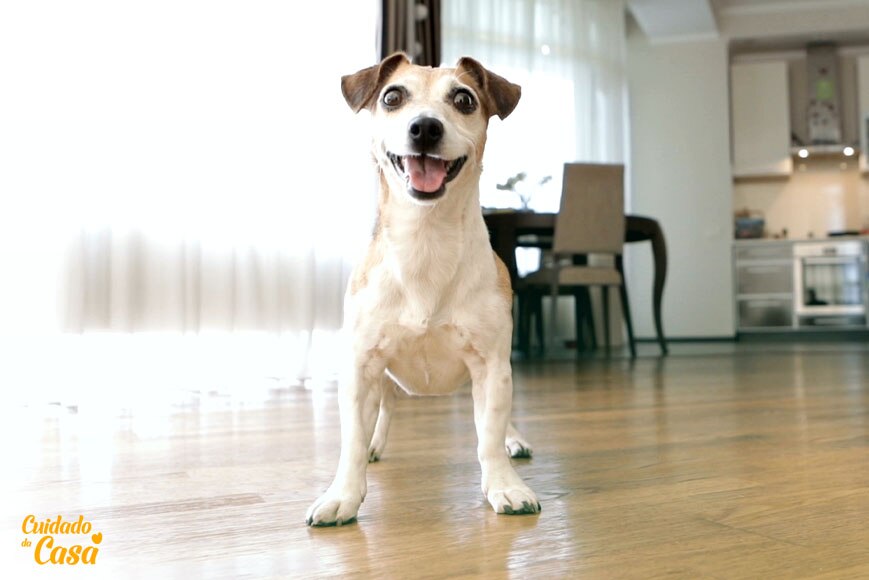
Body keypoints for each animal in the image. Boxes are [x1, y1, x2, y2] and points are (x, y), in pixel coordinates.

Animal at [304, 53, 536, 524]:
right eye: (392, 97)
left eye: (464, 99)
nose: (425, 127)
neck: (426, 239)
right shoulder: (361, 369)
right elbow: (352, 441)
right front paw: (343, 494)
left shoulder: (491, 366)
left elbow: (488, 434)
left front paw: (504, 484)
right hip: (384, 377)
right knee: (386, 410)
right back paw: (375, 445)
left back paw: (513, 439)